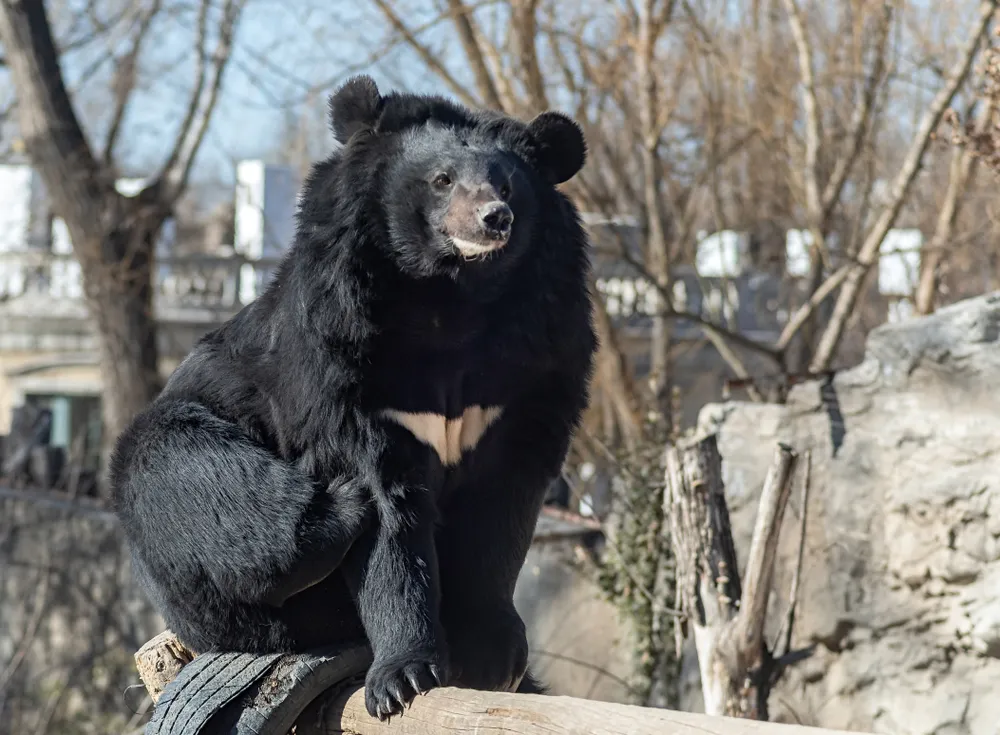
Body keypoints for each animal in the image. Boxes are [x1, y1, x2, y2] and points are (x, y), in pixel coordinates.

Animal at [110, 74, 597, 721]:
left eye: (508, 184)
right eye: (442, 179)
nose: (495, 219)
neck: (450, 299)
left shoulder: (538, 361)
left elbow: (502, 507)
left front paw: (493, 656)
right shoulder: (339, 351)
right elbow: (385, 502)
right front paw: (406, 678)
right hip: (180, 461)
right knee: (189, 476)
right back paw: (336, 511)